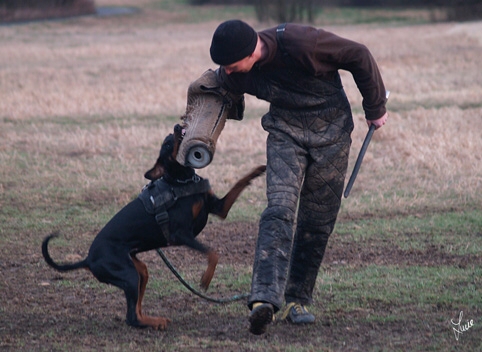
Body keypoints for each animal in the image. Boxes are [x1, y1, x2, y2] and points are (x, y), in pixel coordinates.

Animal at [41, 125, 266, 332]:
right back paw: (156, 323)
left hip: (140, 271)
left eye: (169, 137)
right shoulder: (180, 234)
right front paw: (206, 279)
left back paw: (154, 319)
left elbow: (239, 183)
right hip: (128, 275)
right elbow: (213, 252)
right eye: (166, 144)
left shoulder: (219, 208)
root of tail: (88, 259)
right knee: (131, 317)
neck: (181, 180)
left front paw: (259, 170)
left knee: (137, 308)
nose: (177, 126)